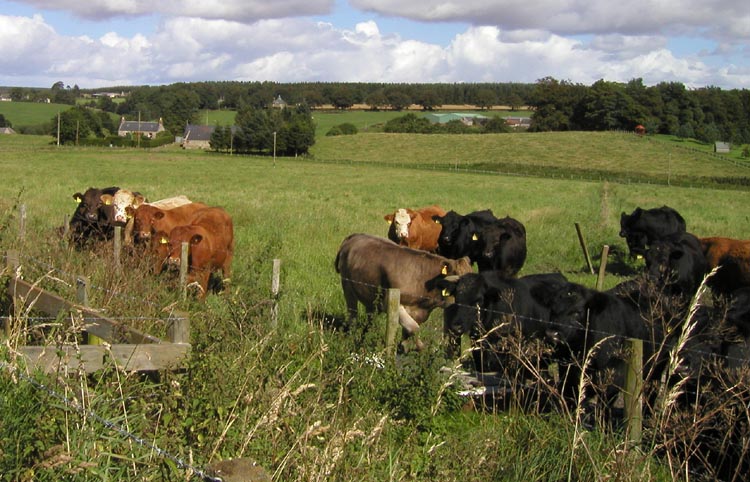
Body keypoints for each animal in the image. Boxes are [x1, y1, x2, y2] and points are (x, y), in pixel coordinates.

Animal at [336, 233, 472, 350]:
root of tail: (354, 236)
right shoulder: (391, 303)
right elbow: (414, 328)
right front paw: (422, 350)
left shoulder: (418, 311)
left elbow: (407, 334)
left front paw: (403, 350)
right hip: (347, 287)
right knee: (352, 315)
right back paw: (349, 337)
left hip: (371, 298)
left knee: (370, 319)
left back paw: (362, 339)